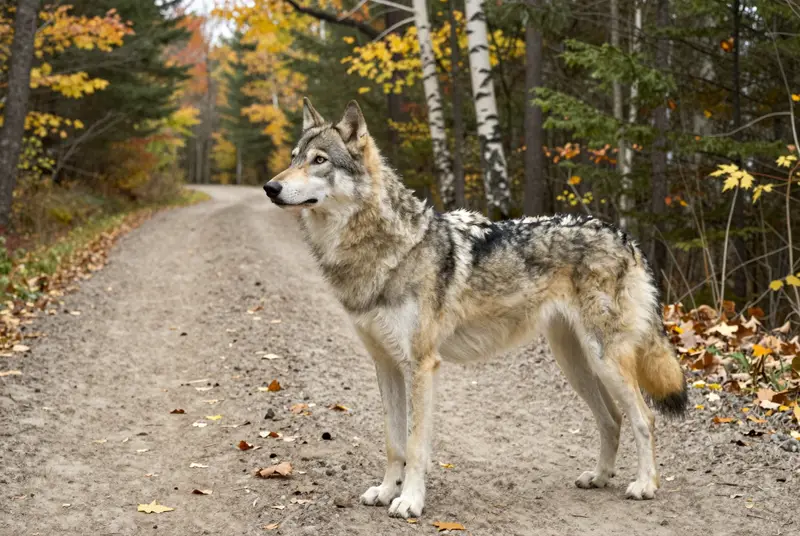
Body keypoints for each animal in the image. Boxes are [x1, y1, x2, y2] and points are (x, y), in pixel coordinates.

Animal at [263, 98, 688, 518]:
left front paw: (410, 501)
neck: (385, 249)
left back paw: (645, 485)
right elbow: (393, 443)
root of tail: (625, 237)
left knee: (644, 417)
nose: (270, 187)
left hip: (605, 360)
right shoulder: (385, 365)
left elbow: (415, 445)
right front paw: (385, 492)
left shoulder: (421, 366)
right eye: (294, 156)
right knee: (611, 418)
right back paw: (598, 477)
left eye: (319, 160)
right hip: (575, 362)